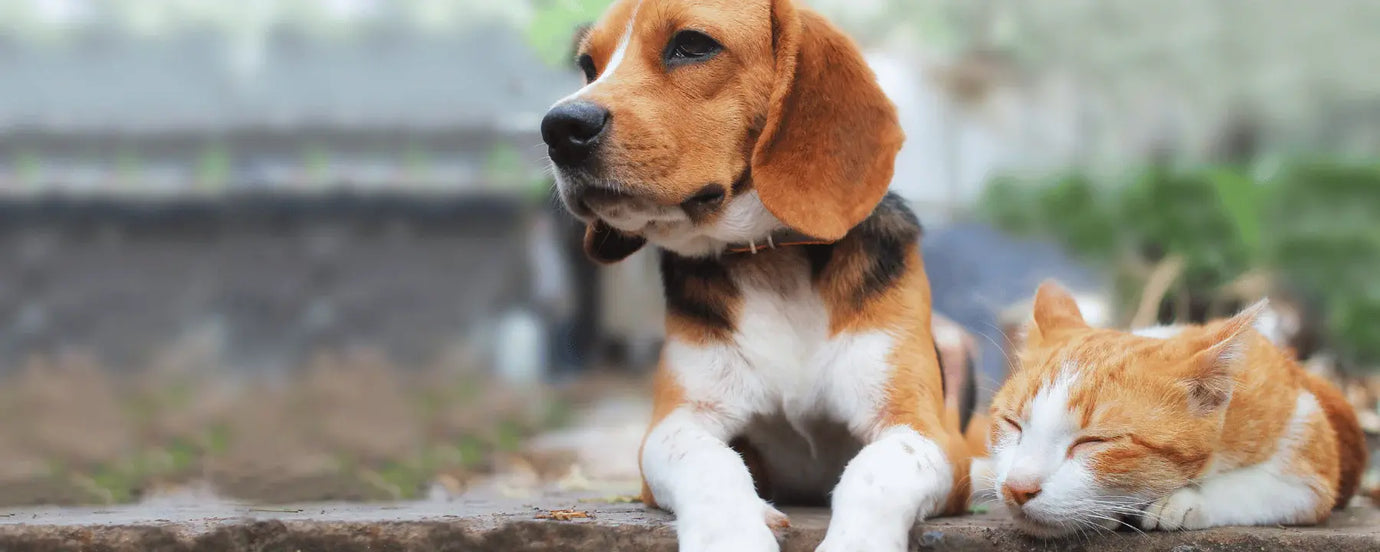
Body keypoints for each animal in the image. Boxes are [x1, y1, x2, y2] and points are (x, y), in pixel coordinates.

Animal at [543, 1, 977, 552]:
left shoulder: (926, 431)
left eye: (692, 44)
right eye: (587, 66)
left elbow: (876, 471)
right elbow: (710, 462)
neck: (772, 259)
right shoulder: (675, 422)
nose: (558, 129)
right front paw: (732, 533)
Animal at [988, 282, 1363, 538]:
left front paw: (1182, 501)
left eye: (1093, 442)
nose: (1017, 488)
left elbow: (1261, 486)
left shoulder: (1310, 451)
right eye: (1012, 424)